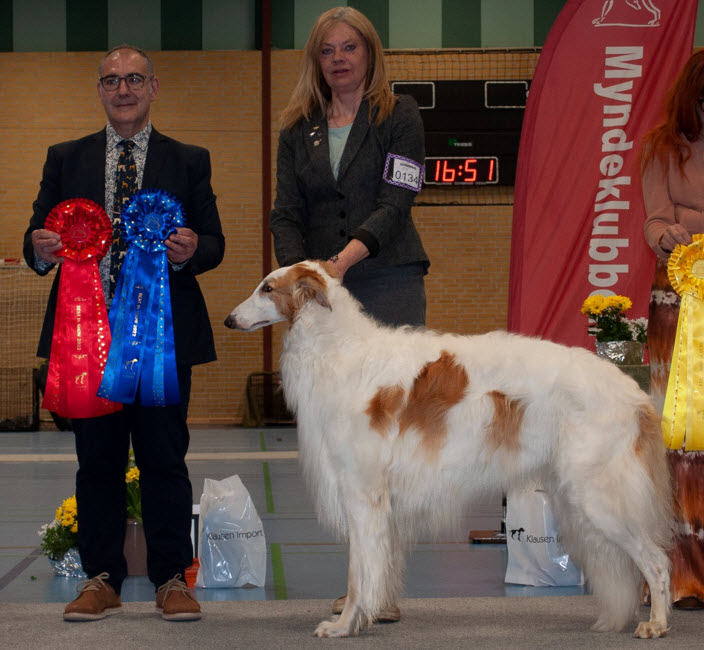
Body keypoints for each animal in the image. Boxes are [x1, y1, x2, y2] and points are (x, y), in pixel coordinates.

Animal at [224, 260, 672, 636]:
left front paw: (344, 625)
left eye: (267, 288)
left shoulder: (363, 495)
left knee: (658, 562)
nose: (229, 319)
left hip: (599, 496)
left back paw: (657, 623)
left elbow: (359, 575)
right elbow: (377, 570)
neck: (340, 348)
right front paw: (368, 617)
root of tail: (634, 394)